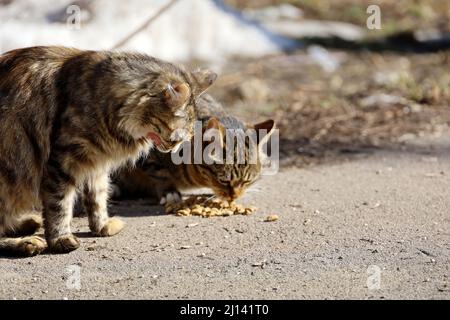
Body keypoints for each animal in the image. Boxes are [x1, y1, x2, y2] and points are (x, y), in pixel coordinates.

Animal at [0, 46, 216, 256]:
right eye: (176, 138)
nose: (174, 148)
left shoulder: (97, 163)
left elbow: (98, 197)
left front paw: (102, 226)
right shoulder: (62, 161)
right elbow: (60, 204)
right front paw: (61, 239)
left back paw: (28, 223)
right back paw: (27, 242)